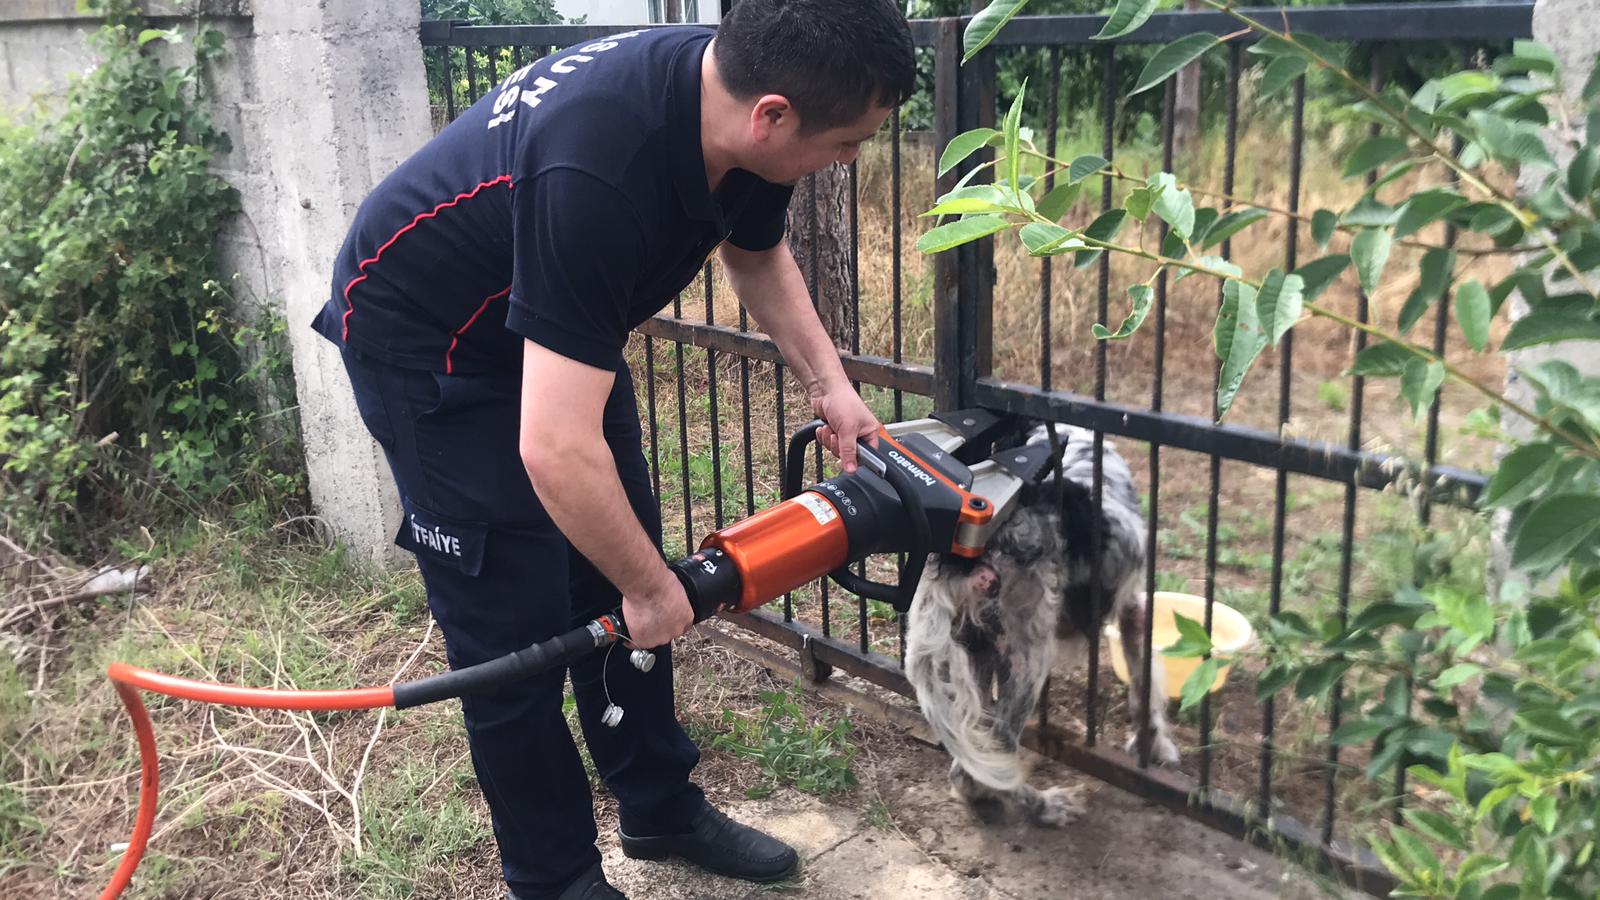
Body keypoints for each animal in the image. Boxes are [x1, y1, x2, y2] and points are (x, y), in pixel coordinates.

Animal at [908, 422, 1184, 826]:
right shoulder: (1133, 609)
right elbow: (1143, 689)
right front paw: (1154, 746)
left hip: (973, 646)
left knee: (973, 760)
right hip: (1030, 661)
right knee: (983, 766)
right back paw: (1046, 806)